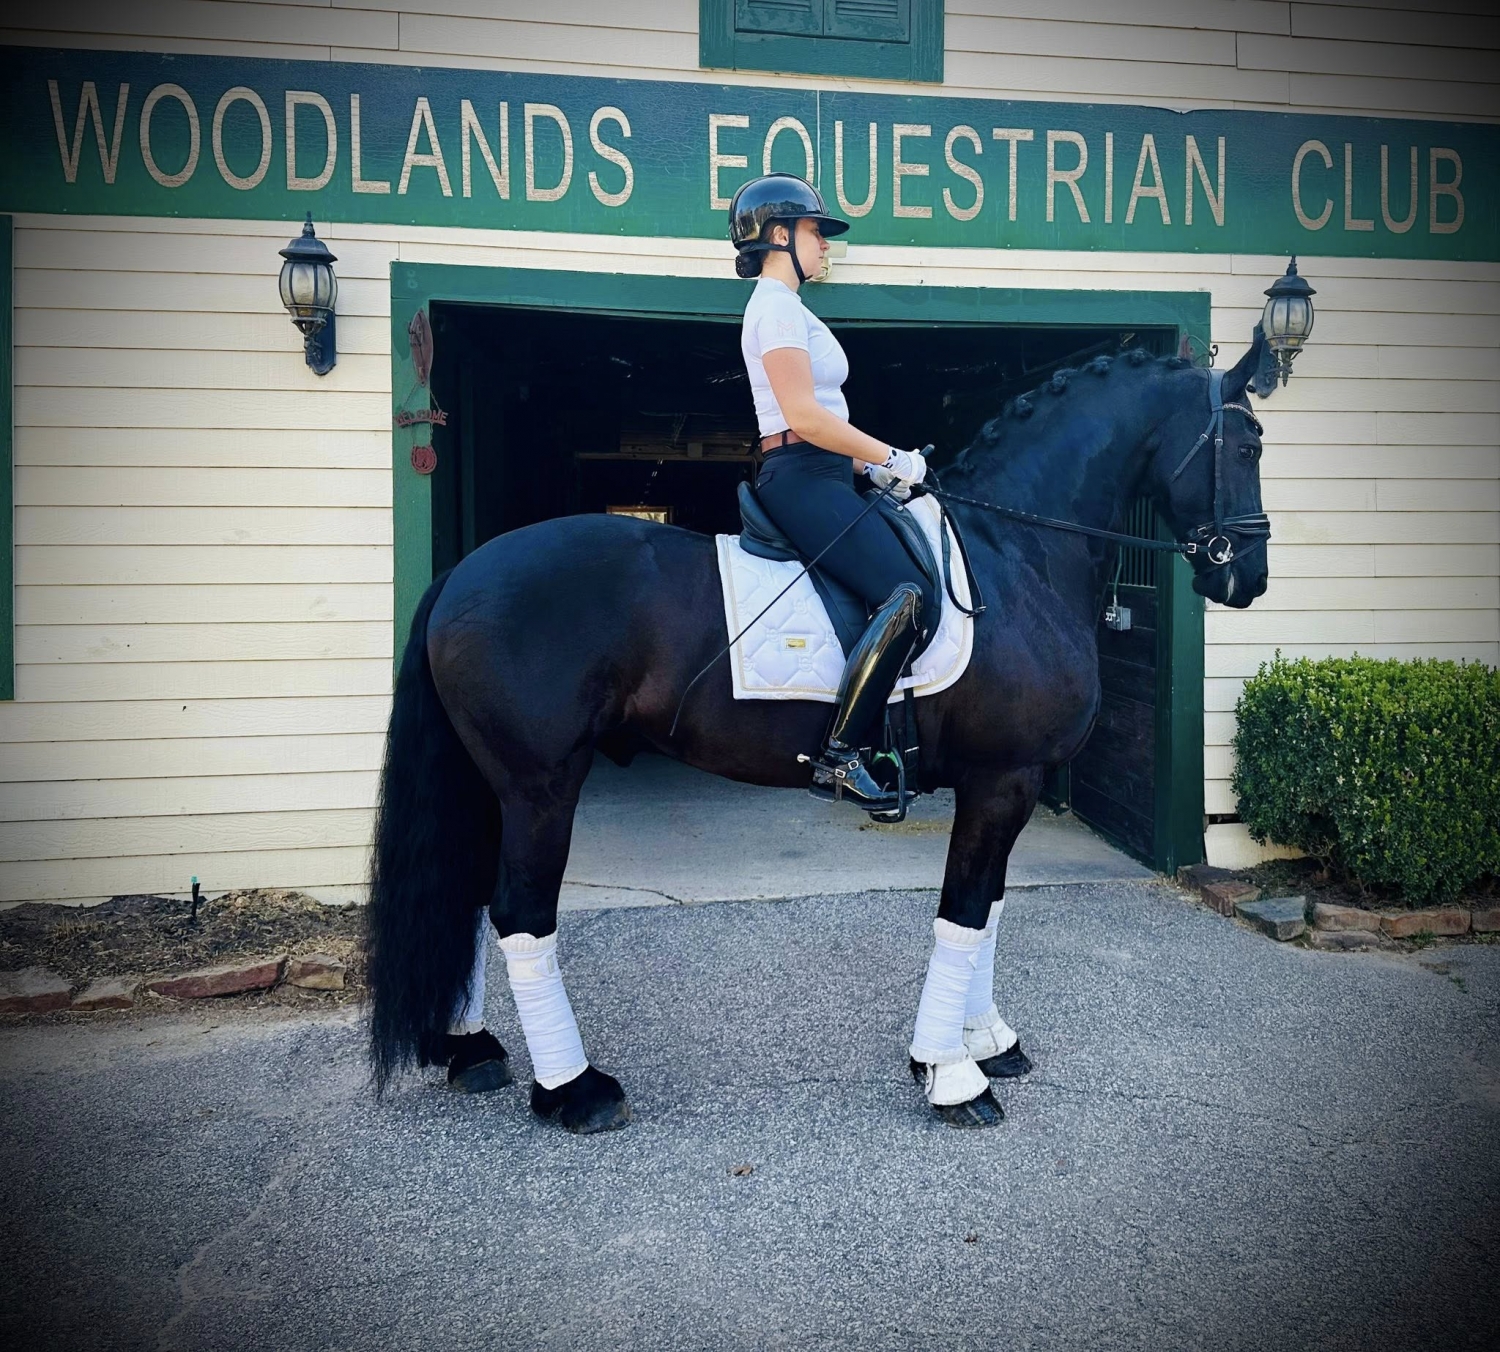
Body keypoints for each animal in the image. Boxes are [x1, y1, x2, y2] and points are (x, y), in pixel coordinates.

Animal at [365, 333, 1272, 1132]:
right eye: (1249, 443)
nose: (1249, 580)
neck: (1015, 554)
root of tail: (464, 573)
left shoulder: (1006, 784)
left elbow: (989, 912)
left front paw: (986, 1041)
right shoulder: (1002, 779)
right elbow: (964, 912)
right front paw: (950, 1075)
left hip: (494, 784)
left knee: (471, 898)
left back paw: (473, 1051)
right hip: (540, 784)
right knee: (522, 913)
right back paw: (574, 1092)